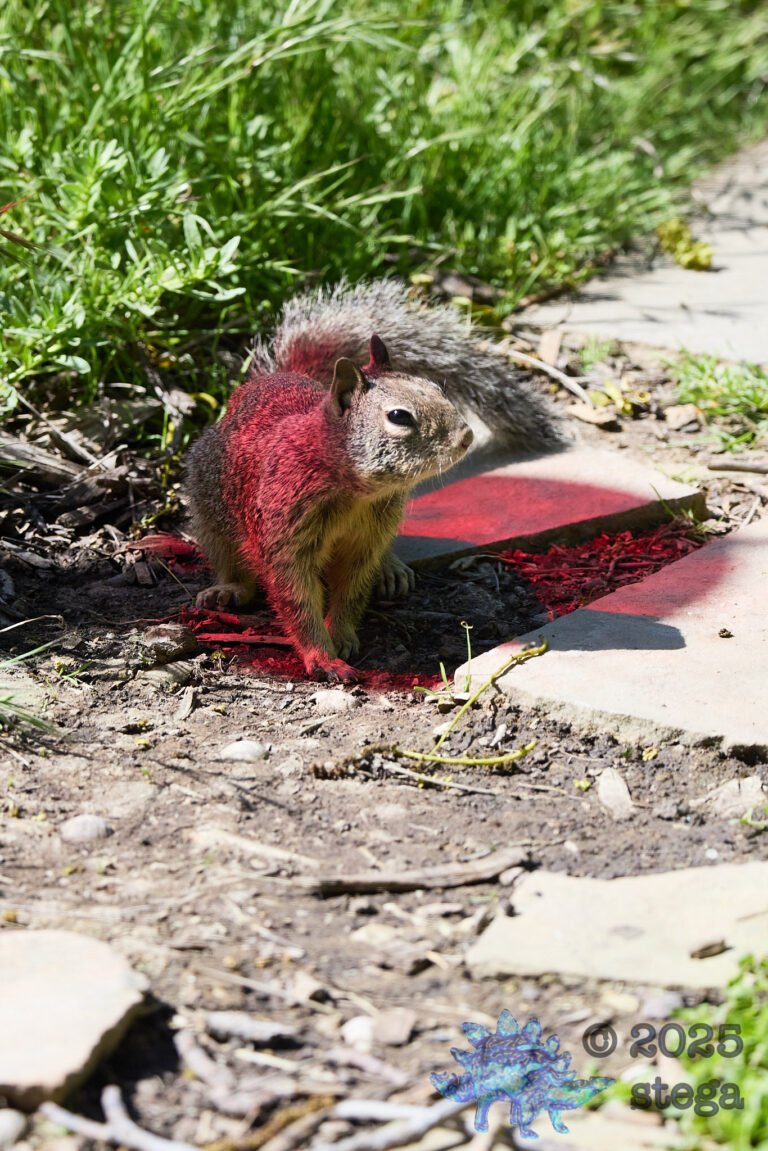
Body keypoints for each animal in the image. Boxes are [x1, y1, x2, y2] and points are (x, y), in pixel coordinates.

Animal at [186, 279, 563, 682]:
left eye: (437, 388)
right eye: (399, 416)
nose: (465, 436)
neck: (355, 491)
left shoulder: (367, 540)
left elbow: (352, 592)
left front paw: (342, 634)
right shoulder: (284, 537)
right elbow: (296, 600)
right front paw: (322, 656)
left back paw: (390, 569)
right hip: (210, 514)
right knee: (232, 562)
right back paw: (228, 590)